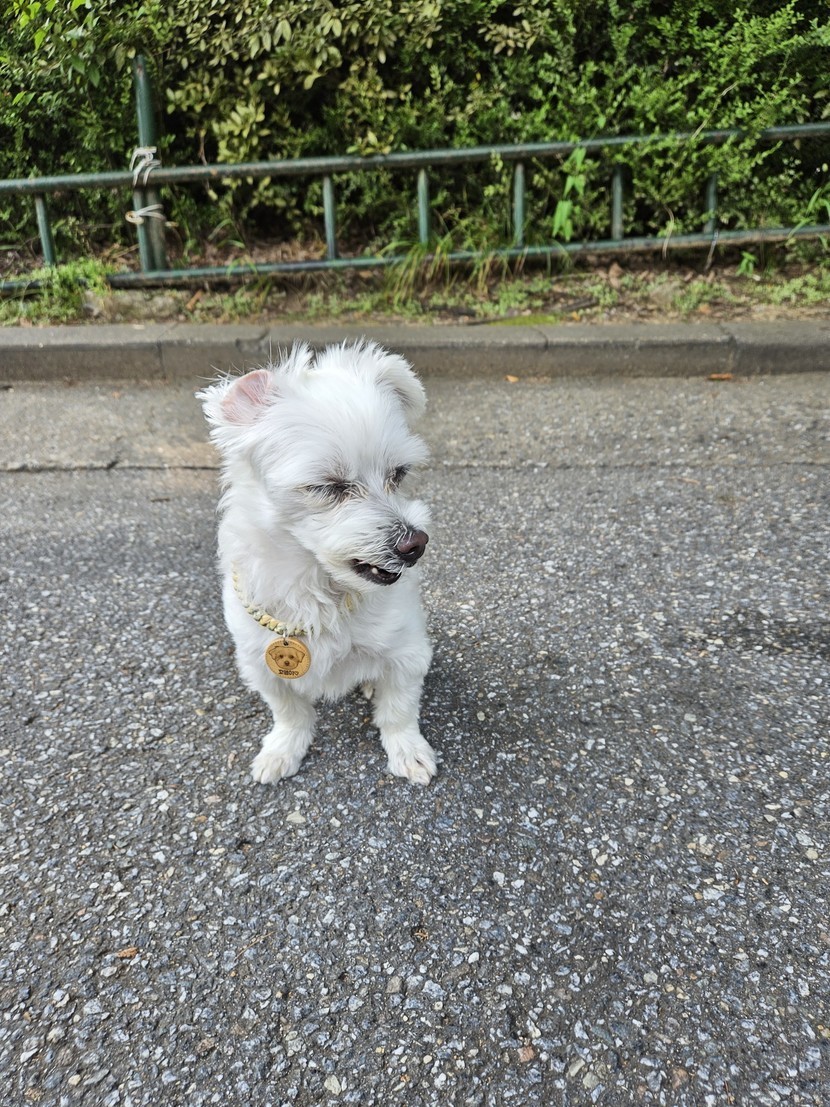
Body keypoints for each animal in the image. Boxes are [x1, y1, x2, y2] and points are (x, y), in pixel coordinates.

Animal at [199, 340, 437, 785]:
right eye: (328, 487)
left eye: (398, 473)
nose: (415, 544)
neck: (315, 589)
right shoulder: (261, 663)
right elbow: (289, 712)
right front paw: (283, 748)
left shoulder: (407, 653)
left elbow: (399, 709)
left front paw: (408, 750)